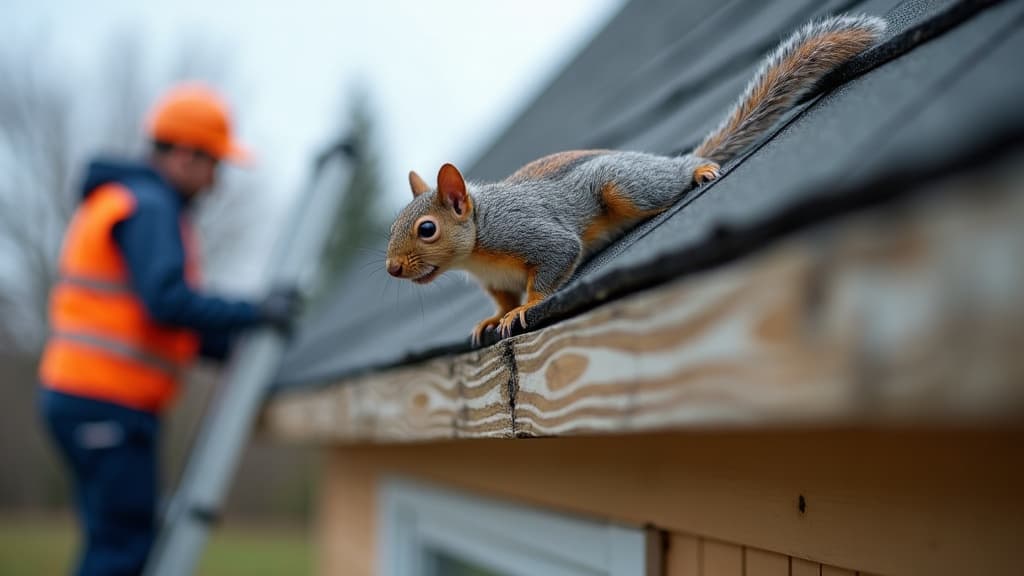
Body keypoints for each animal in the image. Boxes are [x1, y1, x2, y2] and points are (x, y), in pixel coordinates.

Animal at [385, 14, 887, 344]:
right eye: (393, 227)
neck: (478, 246)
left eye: (427, 229)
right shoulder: (494, 281)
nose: (392, 269)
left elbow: (554, 262)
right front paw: (493, 320)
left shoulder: (530, 233)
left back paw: (697, 169)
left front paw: (524, 308)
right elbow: (501, 301)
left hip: (625, 184)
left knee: (670, 178)